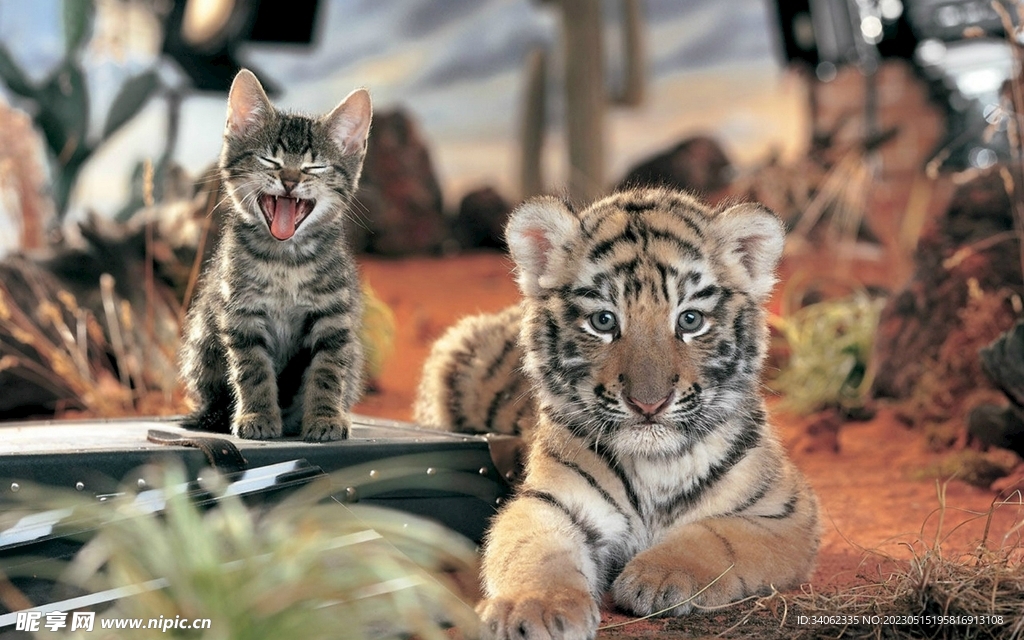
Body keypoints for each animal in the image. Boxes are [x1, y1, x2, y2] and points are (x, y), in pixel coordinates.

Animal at [414, 188, 819, 639]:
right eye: (604, 321)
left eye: (690, 320)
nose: (648, 403)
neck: (656, 466)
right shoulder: (548, 501)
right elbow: (535, 551)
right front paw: (536, 607)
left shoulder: (785, 513)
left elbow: (720, 535)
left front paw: (659, 575)